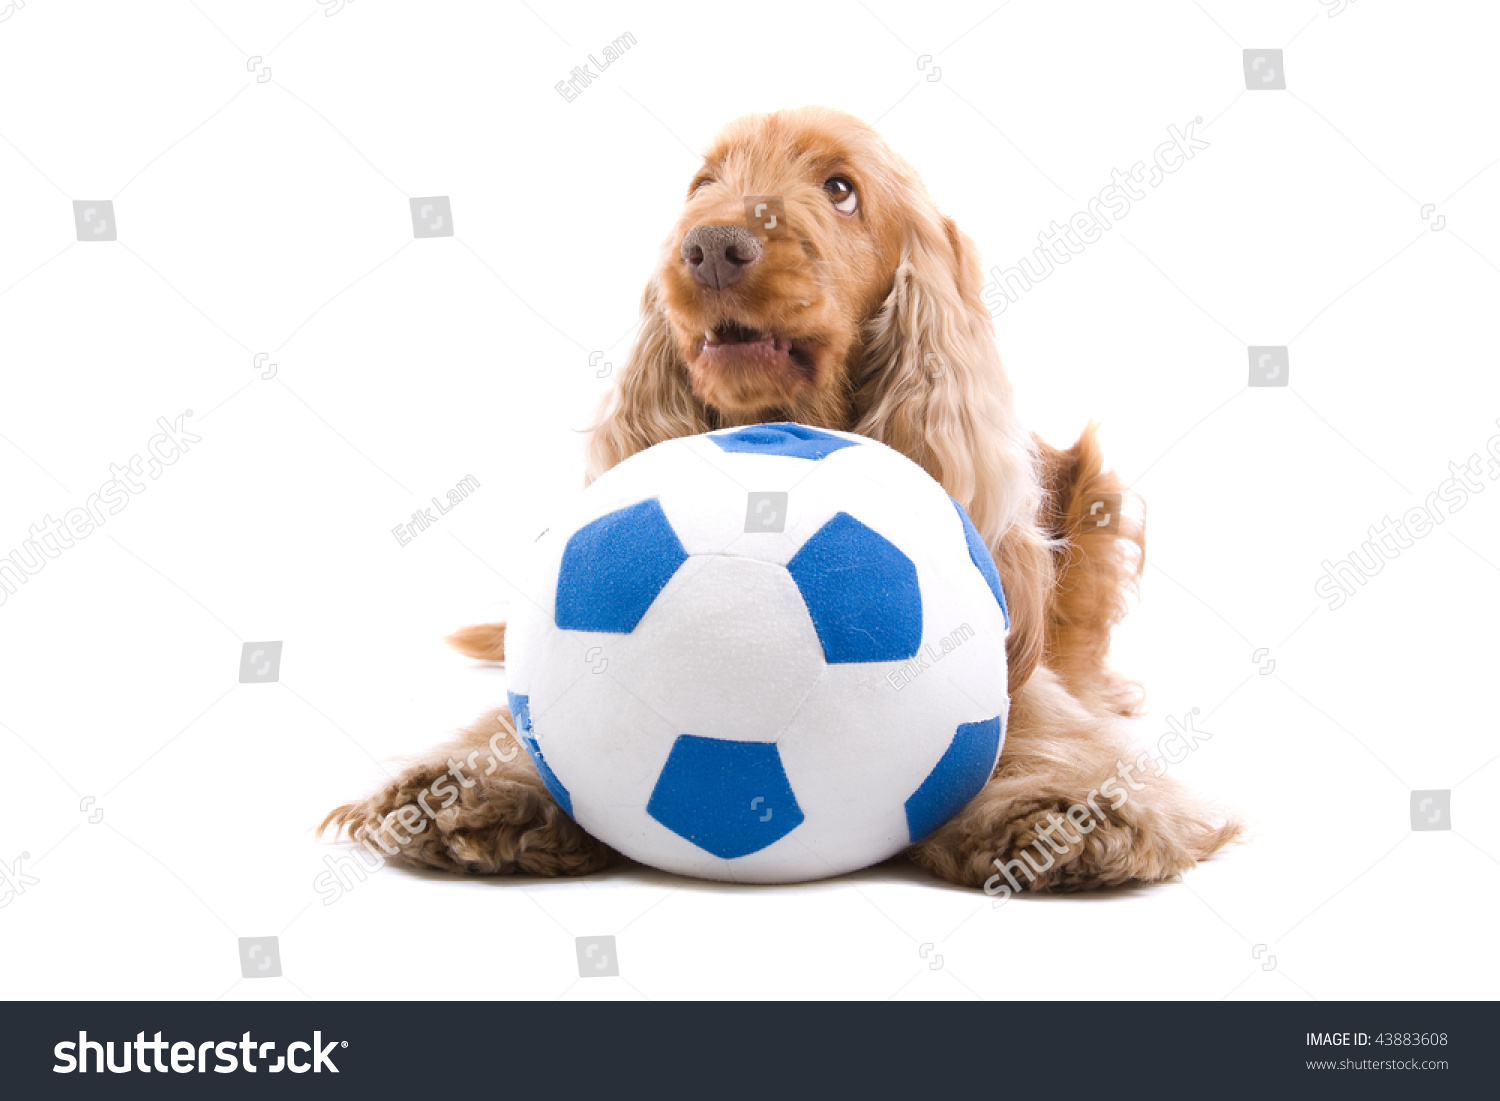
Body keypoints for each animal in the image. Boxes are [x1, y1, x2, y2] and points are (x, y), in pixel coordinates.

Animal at [325, 108, 1242, 894]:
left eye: (840, 189)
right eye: (703, 183)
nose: (711, 247)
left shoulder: (1017, 668)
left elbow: (1047, 732)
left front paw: (1062, 808)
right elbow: (513, 723)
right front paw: (477, 786)